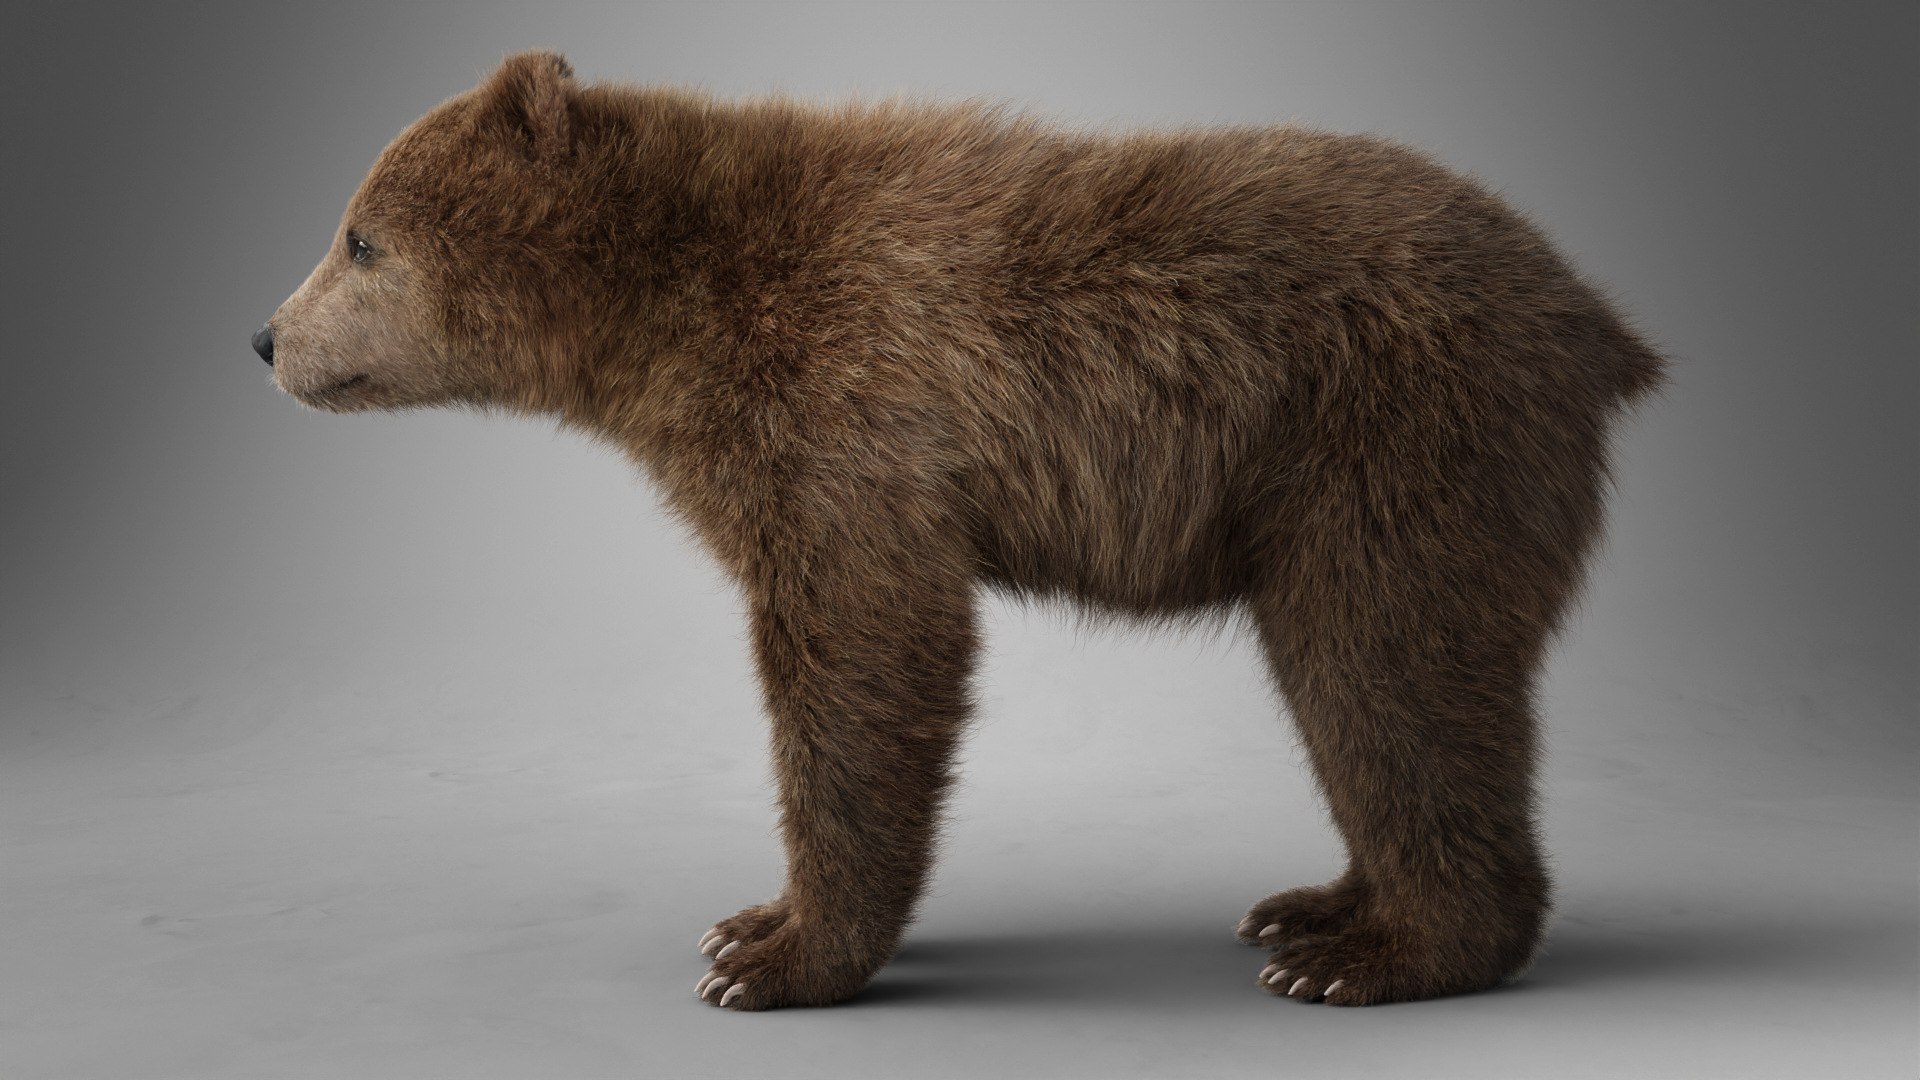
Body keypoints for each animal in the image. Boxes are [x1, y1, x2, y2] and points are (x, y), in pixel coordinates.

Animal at [254, 51, 1667, 1011]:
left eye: (360, 237)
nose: (266, 335)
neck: (670, 314)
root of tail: (1598, 323)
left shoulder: (847, 411)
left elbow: (866, 649)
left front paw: (771, 952)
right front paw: (751, 926)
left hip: (1393, 447)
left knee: (1383, 665)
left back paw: (1378, 953)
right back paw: (1312, 905)